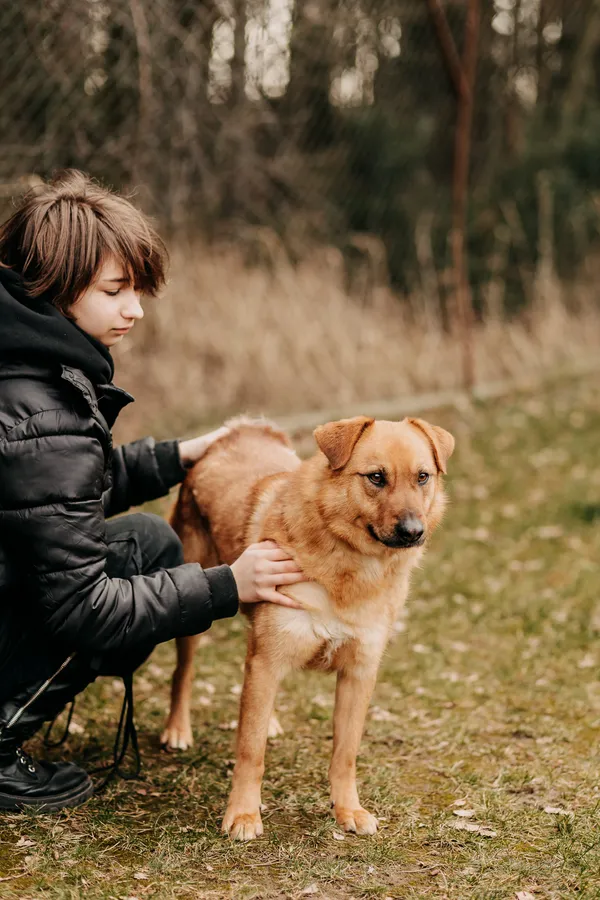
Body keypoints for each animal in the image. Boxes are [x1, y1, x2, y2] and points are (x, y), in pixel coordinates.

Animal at [162, 414, 452, 836]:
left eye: (423, 477)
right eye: (376, 477)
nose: (414, 531)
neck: (352, 565)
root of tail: (241, 430)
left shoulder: (358, 673)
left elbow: (345, 753)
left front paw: (347, 809)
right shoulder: (268, 660)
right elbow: (250, 751)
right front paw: (243, 813)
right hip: (195, 612)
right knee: (182, 673)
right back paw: (177, 729)